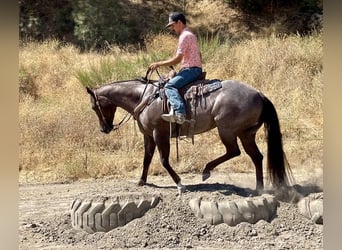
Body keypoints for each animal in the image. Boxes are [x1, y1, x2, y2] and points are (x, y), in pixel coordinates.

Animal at [85, 70, 292, 193]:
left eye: (94, 107)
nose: (104, 129)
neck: (143, 97)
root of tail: (259, 94)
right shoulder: (148, 136)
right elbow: (147, 158)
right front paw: (141, 181)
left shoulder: (159, 134)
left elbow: (164, 160)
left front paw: (179, 183)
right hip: (246, 133)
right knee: (256, 156)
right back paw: (259, 188)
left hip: (227, 130)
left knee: (235, 151)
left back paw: (206, 171)